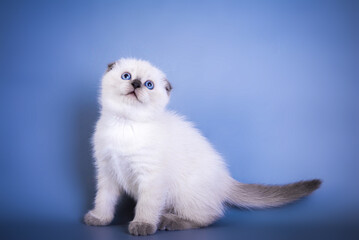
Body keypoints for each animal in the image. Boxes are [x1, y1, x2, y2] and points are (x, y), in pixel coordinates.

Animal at [84, 58, 324, 236]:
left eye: (149, 85)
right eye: (126, 76)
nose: (136, 84)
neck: (124, 125)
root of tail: (226, 180)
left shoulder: (151, 178)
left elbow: (146, 205)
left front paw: (142, 225)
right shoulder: (107, 171)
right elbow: (104, 199)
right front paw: (98, 218)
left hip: (184, 193)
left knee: (207, 218)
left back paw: (168, 222)